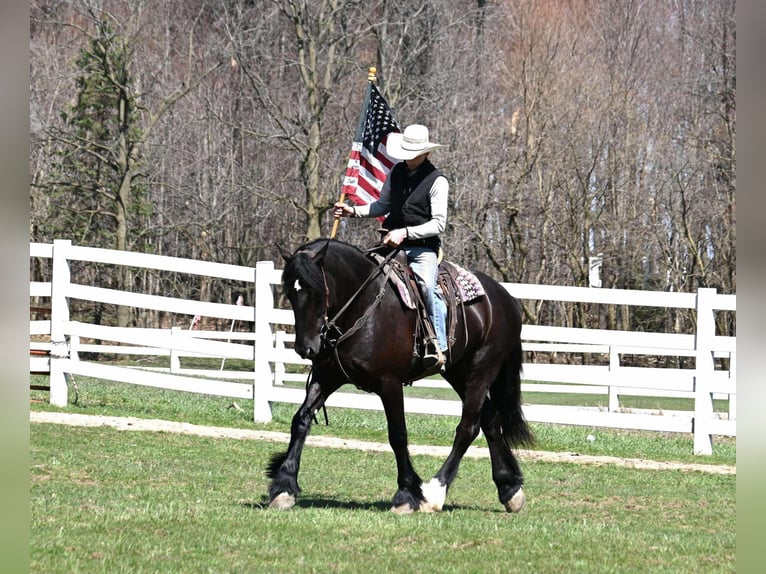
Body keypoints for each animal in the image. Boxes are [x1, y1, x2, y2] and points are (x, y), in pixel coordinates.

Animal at [267, 238, 533, 513]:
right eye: (290, 292)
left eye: (317, 291)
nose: (306, 348)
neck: (365, 305)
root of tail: (507, 299)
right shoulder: (327, 375)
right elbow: (301, 420)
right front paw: (284, 486)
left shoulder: (390, 383)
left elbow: (398, 434)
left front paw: (406, 494)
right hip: (459, 372)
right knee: (490, 418)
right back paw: (509, 488)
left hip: (482, 370)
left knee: (468, 428)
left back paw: (435, 492)